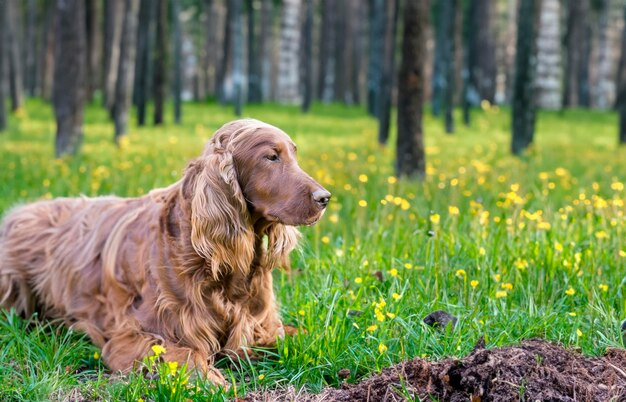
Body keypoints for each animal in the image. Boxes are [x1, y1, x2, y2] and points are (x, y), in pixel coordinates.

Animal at [0, 118, 332, 384]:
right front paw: (210, 380)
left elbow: (300, 335)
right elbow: (186, 355)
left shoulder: (262, 327)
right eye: (271, 157)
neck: (217, 262)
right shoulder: (134, 336)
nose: (325, 198)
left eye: (293, 155)